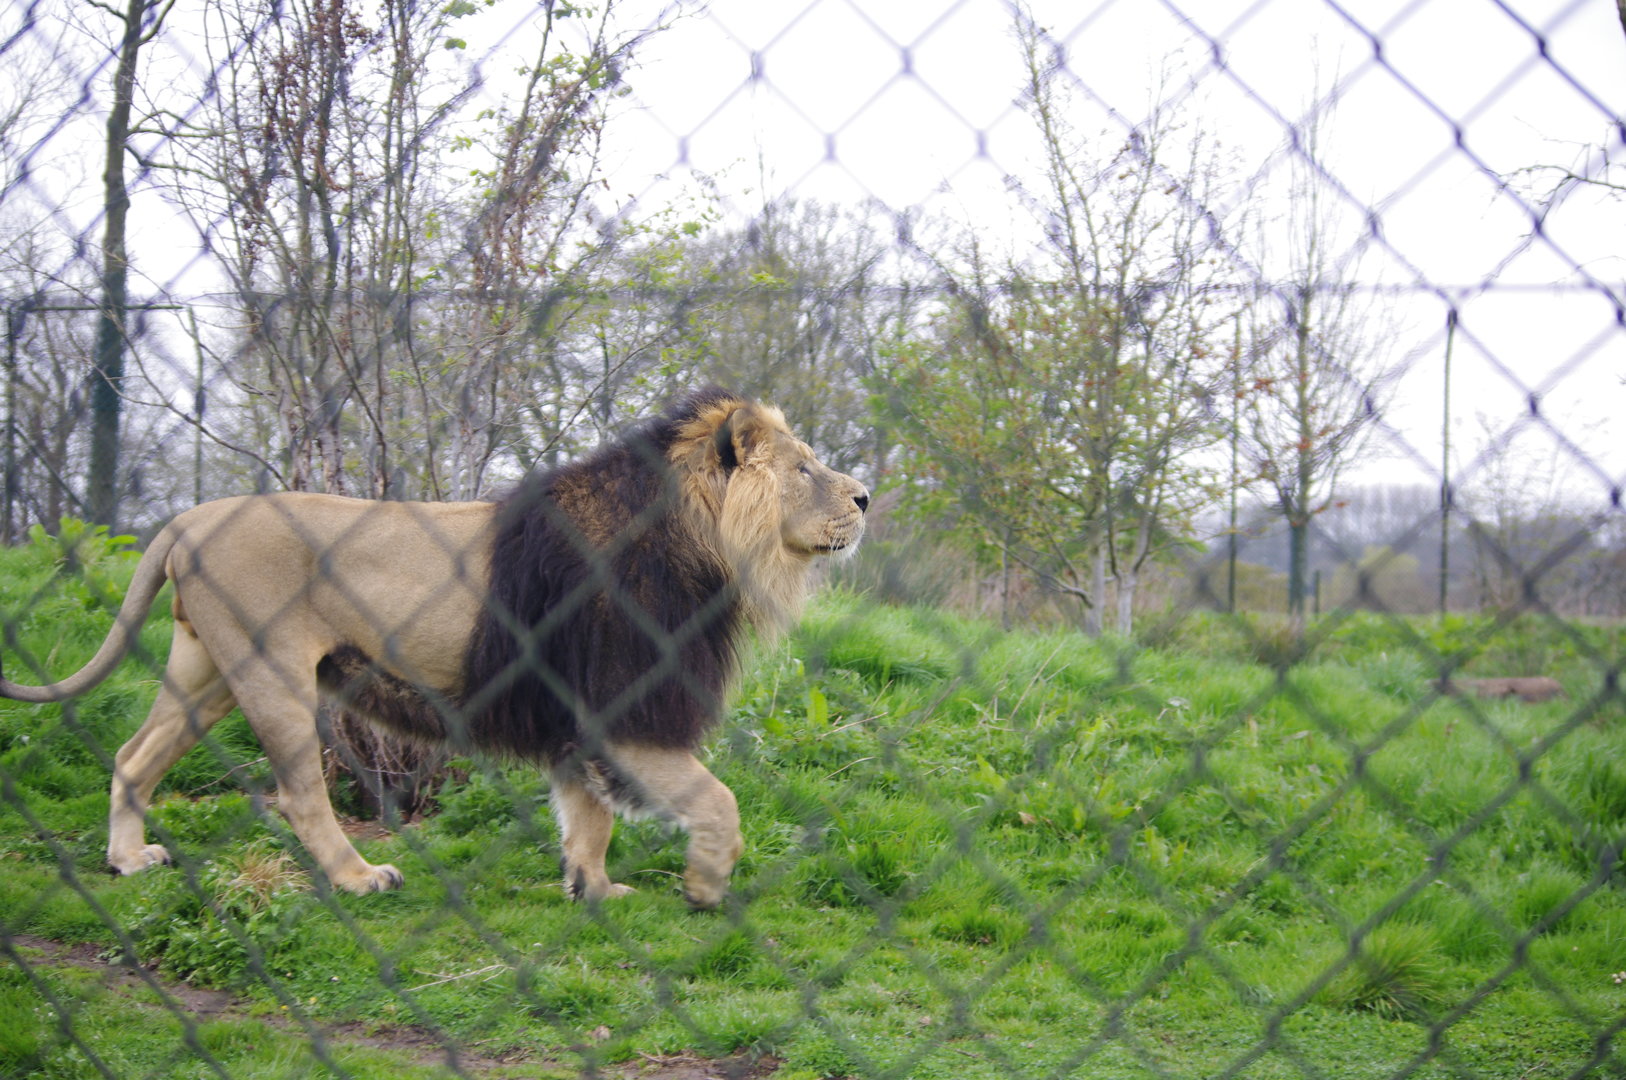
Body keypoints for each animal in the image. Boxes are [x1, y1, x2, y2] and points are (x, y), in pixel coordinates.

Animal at [0, 388, 868, 908]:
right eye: (804, 469)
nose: (864, 497)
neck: (701, 540)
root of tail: (189, 516)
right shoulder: (625, 706)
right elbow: (716, 802)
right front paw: (706, 885)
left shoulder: (572, 709)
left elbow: (588, 817)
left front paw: (593, 890)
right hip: (270, 673)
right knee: (299, 795)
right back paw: (358, 877)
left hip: (205, 669)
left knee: (134, 755)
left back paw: (127, 860)